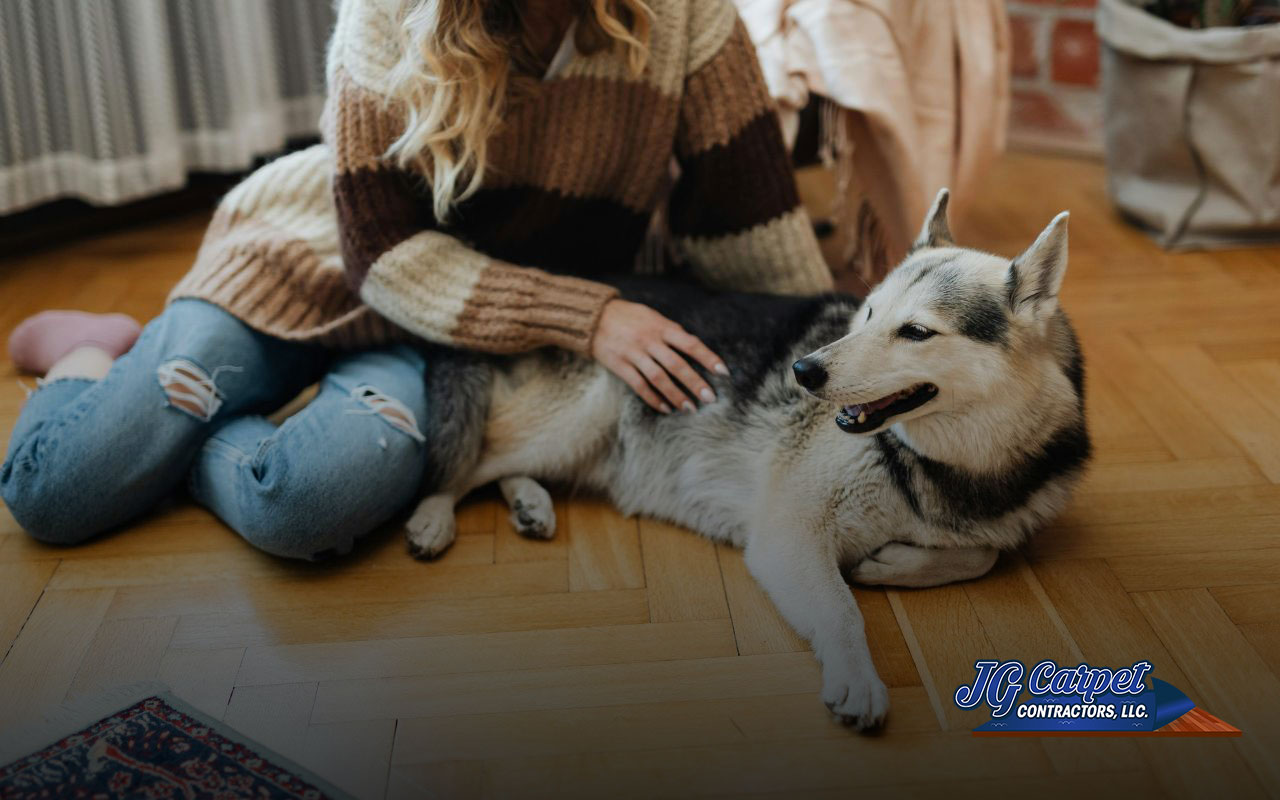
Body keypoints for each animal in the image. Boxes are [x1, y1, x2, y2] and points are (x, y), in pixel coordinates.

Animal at [401, 190, 1090, 727]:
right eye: (868, 313)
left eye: (916, 332)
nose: (803, 371)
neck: (943, 467)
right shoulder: (789, 533)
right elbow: (842, 612)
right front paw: (857, 676)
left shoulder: (990, 521)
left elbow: (983, 554)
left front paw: (893, 562)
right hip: (577, 418)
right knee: (470, 461)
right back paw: (435, 516)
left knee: (503, 464)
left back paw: (529, 503)